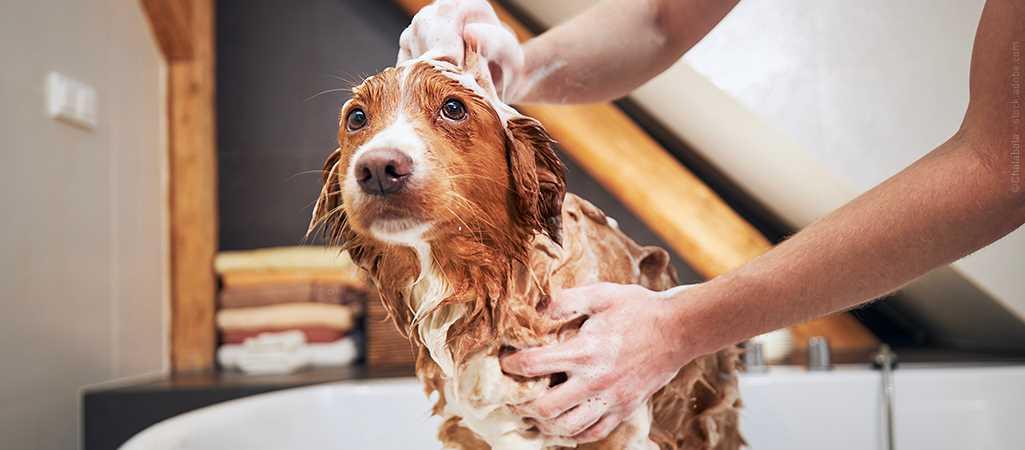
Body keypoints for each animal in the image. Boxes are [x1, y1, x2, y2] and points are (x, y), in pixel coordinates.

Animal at [307, 56, 742, 450]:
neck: (482, 288)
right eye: (357, 118)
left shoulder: (610, 426)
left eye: (453, 108)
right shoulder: (468, 433)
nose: (379, 168)